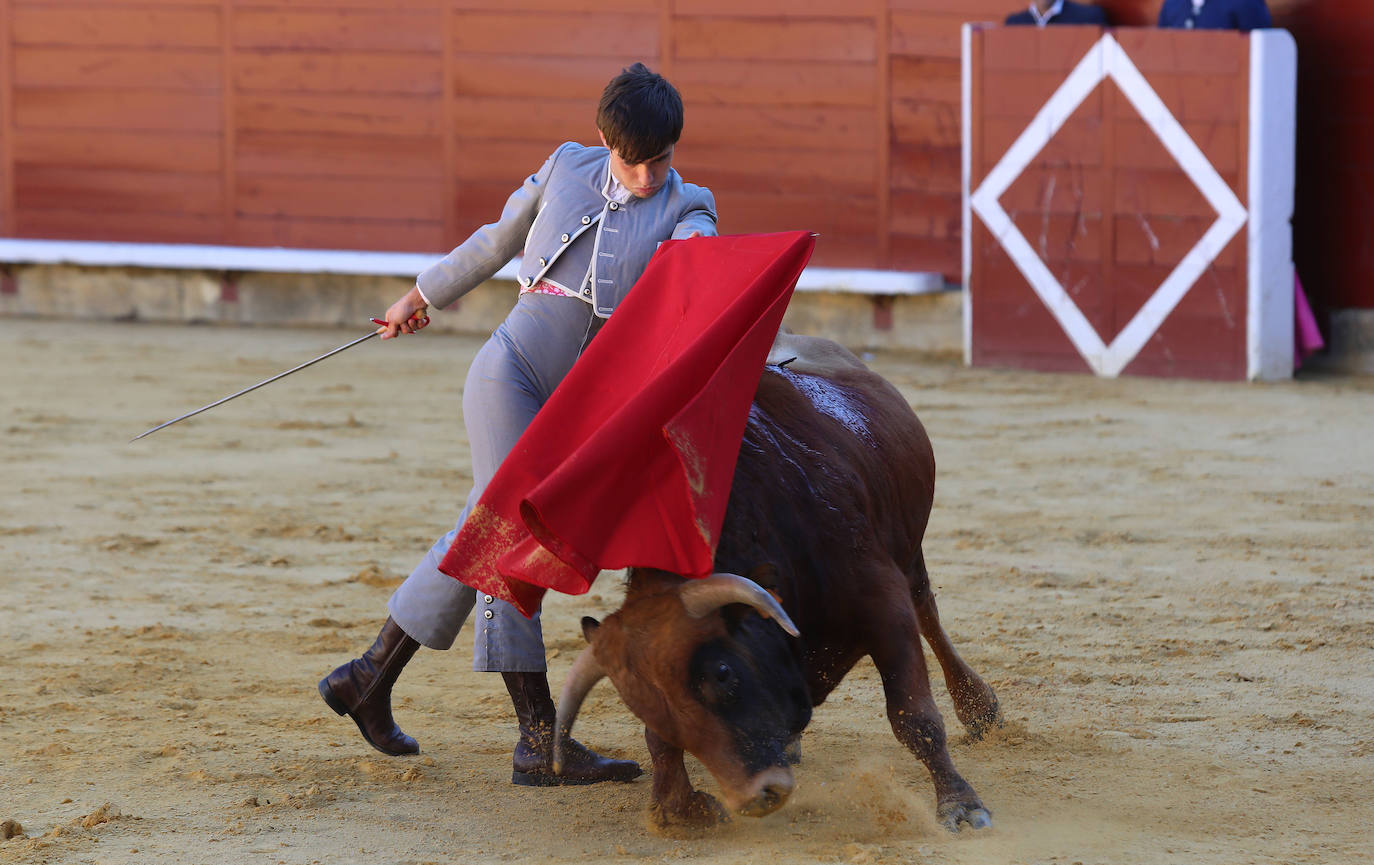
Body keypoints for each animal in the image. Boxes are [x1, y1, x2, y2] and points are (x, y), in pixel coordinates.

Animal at [555, 332, 1000, 834]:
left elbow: (914, 716)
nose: (755, 797)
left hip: (909, 548)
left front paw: (960, 804)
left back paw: (979, 709)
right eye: (639, 703)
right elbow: (658, 740)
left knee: (929, 612)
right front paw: (676, 808)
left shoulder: (885, 605)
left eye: (724, 673)